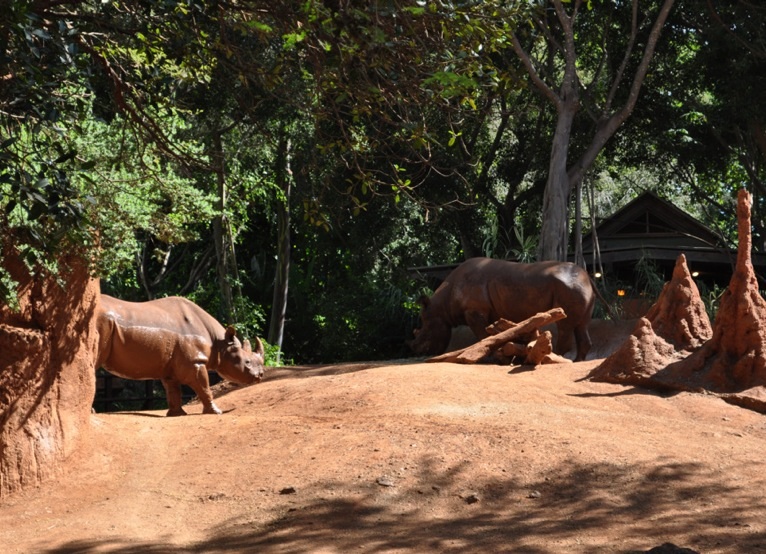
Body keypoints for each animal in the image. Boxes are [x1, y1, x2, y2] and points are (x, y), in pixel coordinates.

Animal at [96, 294, 266, 416]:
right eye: (247, 362)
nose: (261, 375)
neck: (219, 343)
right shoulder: (195, 361)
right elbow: (204, 387)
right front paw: (216, 412)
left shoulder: (170, 368)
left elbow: (173, 390)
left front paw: (177, 414)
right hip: (101, 323)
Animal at [410, 257, 596, 361]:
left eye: (425, 331)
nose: (417, 352)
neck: (443, 305)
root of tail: (587, 277)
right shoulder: (489, 312)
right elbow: (493, 334)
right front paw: (500, 354)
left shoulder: (474, 310)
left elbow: (482, 335)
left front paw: (490, 356)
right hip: (579, 287)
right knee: (582, 325)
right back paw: (577, 361)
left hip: (569, 288)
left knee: (565, 325)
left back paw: (555, 356)